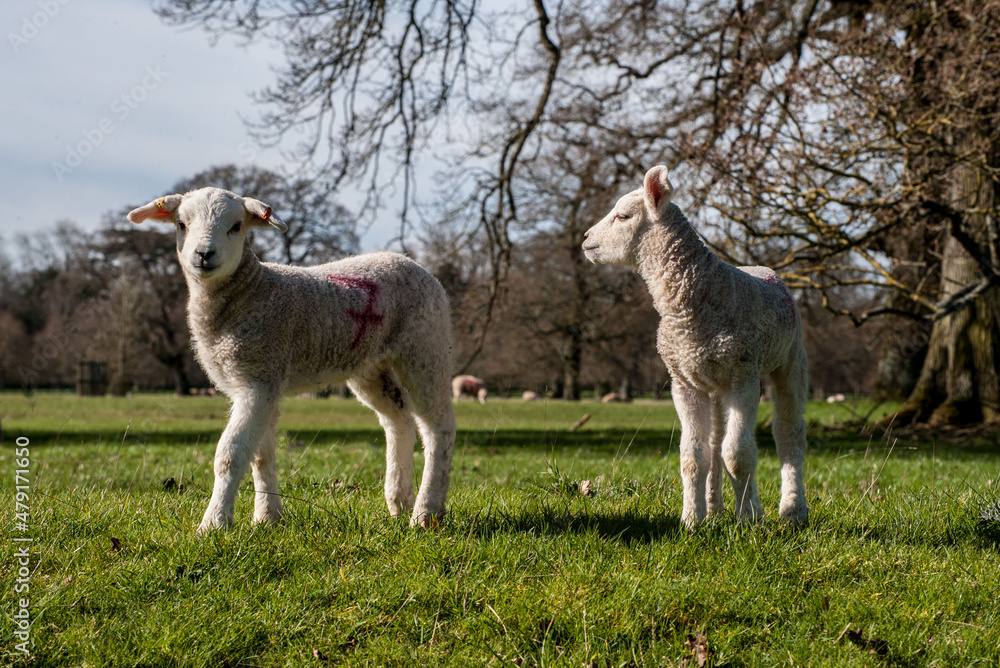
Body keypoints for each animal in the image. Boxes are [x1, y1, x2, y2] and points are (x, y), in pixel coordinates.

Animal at [127, 187, 456, 532]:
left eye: (236, 226)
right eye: (181, 224)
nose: (204, 254)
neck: (251, 292)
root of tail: (412, 264)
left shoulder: (259, 377)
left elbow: (231, 454)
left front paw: (214, 523)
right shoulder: (259, 382)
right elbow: (260, 455)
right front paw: (267, 518)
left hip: (426, 347)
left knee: (439, 427)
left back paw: (426, 513)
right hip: (370, 366)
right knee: (398, 420)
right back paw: (399, 501)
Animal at [582, 166, 809, 529]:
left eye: (623, 215)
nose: (586, 239)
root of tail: (762, 269)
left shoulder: (744, 376)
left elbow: (739, 455)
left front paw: (749, 518)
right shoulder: (683, 381)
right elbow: (693, 456)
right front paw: (691, 520)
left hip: (791, 359)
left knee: (788, 434)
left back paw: (792, 510)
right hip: (712, 381)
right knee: (715, 442)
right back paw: (715, 508)